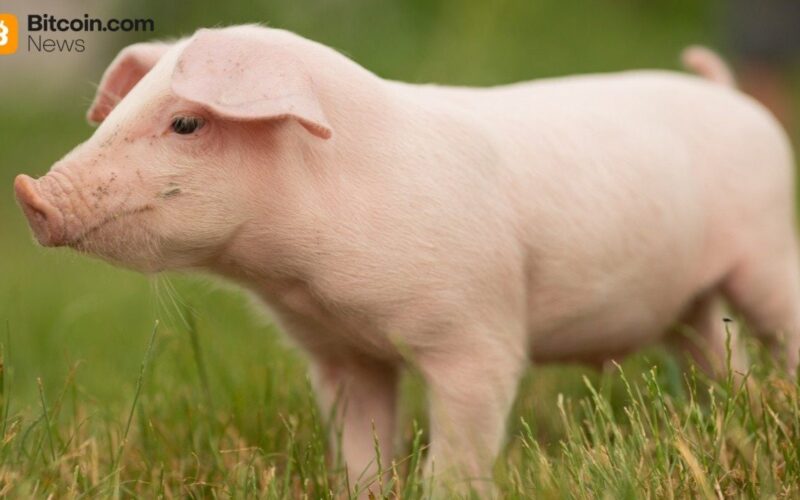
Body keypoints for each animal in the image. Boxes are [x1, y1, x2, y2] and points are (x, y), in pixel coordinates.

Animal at [14, 26, 800, 495]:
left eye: (185, 122)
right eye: (116, 115)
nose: (30, 193)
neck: (305, 282)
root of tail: (727, 92)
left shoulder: (476, 333)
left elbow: (464, 439)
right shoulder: (341, 355)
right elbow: (360, 441)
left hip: (767, 245)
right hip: (692, 302)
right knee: (714, 352)